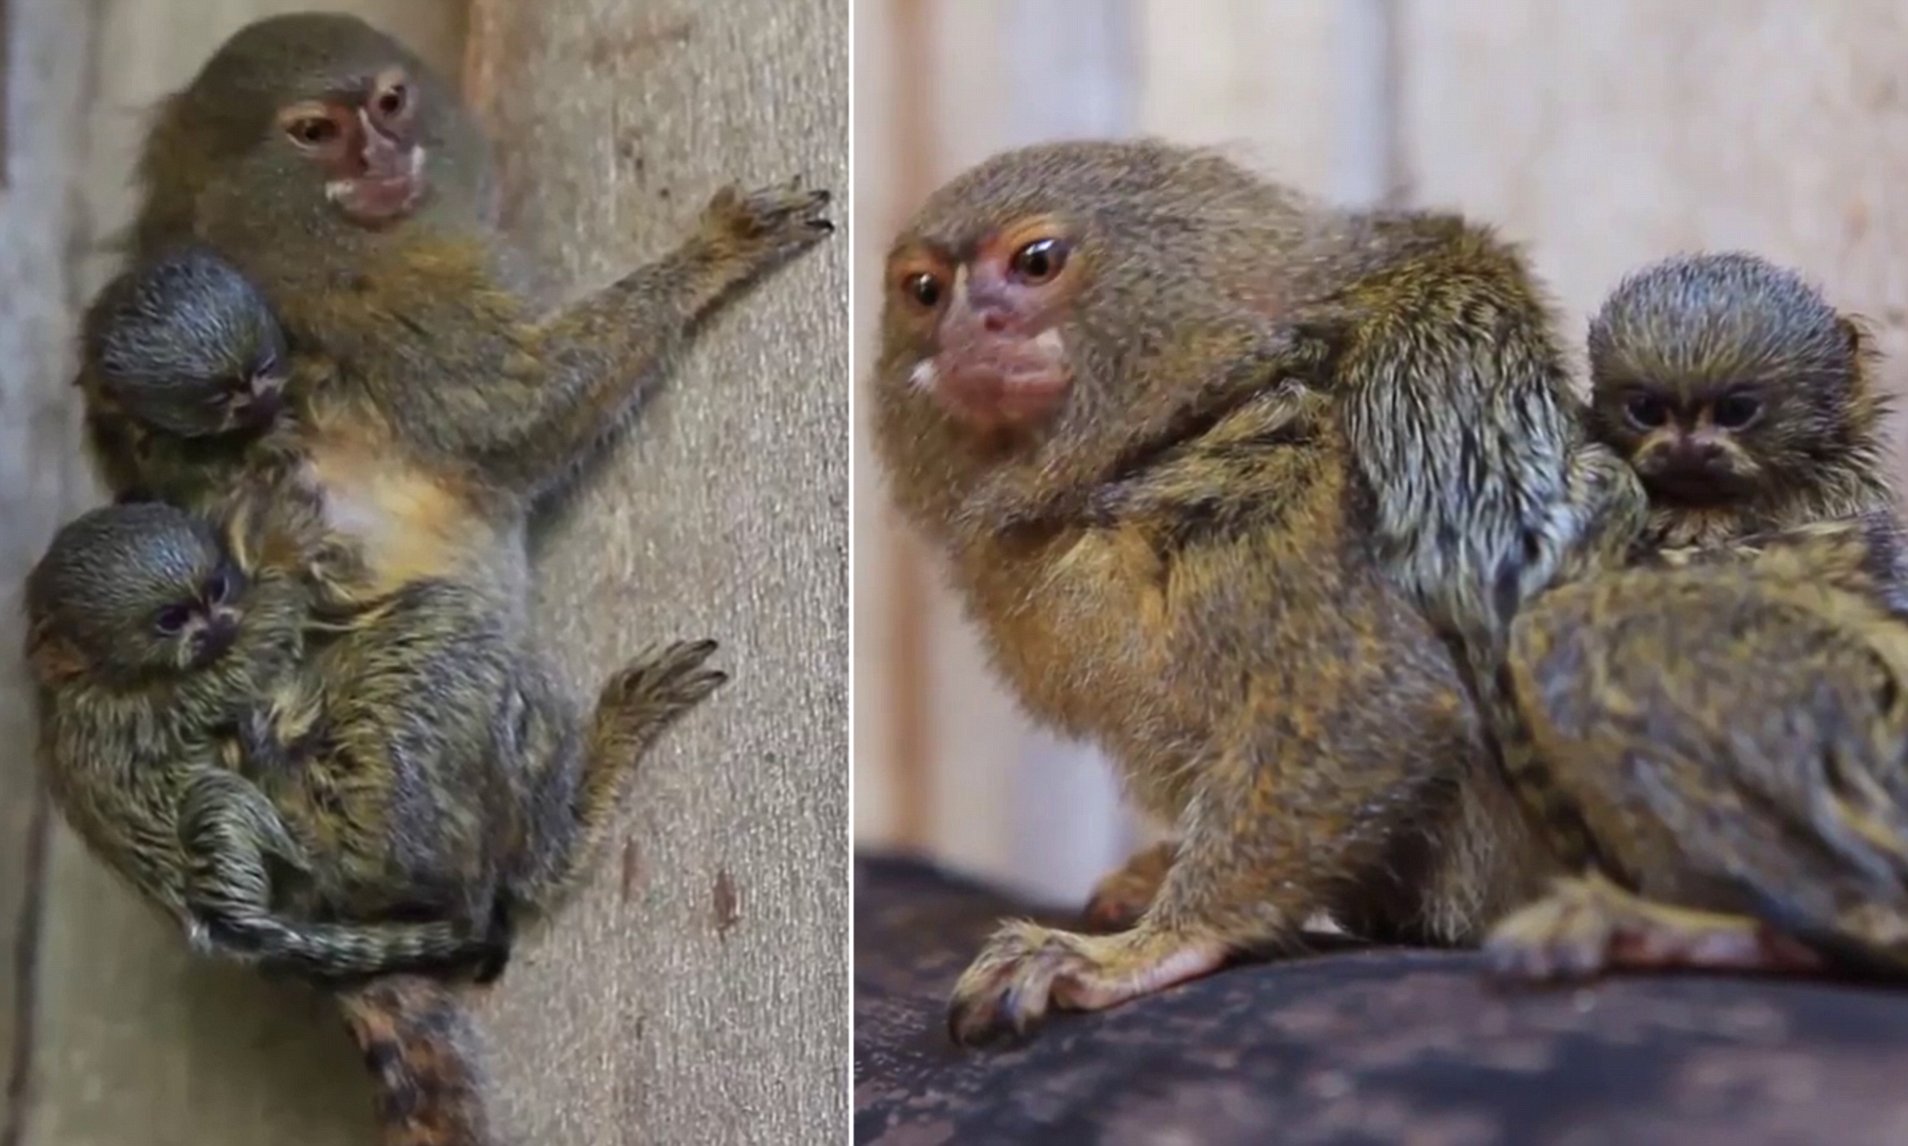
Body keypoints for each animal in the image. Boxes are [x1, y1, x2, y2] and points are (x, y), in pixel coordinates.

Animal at [870, 138, 1597, 1047]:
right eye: (925, 291)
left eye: (1035, 262)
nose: (971, 330)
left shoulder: (1290, 490)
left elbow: (1380, 706)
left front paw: (1153, 945)